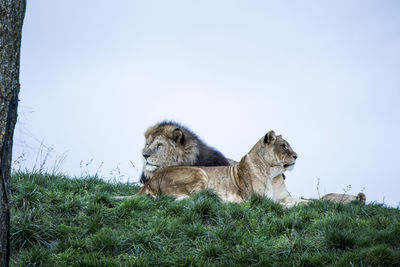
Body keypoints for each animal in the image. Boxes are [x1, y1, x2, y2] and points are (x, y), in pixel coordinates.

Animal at [138, 131, 310, 208]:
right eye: (284, 146)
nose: (296, 156)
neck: (274, 175)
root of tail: (151, 180)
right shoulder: (259, 200)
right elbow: (278, 205)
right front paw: (290, 207)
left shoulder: (284, 196)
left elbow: (301, 201)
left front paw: (310, 204)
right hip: (199, 172)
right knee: (198, 198)